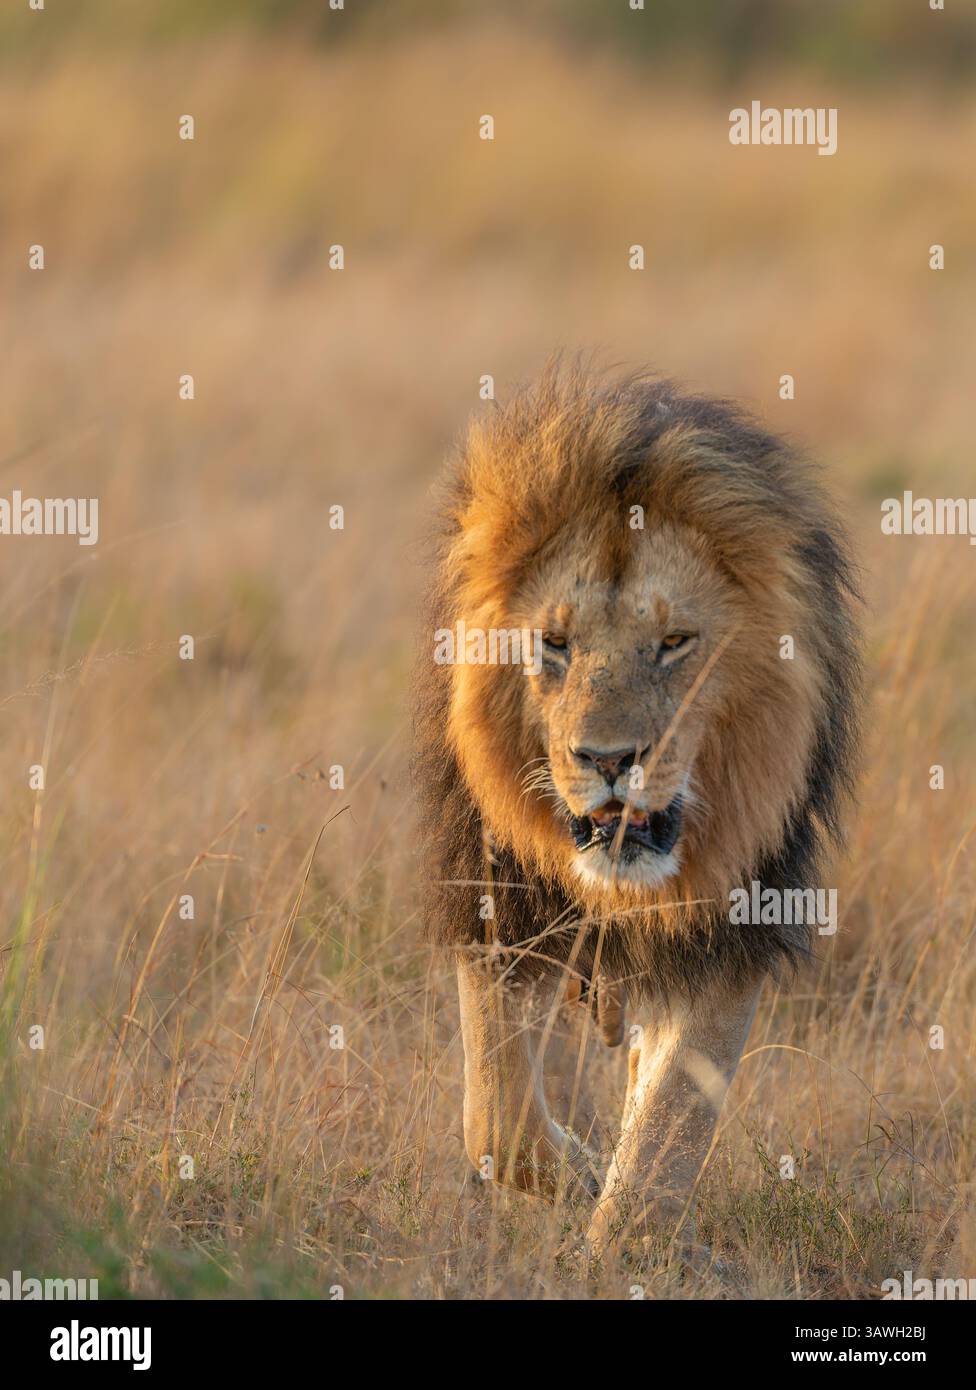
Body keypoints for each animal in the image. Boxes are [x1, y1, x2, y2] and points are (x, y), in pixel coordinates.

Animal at [414, 364, 861, 1255]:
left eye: (675, 643)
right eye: (554, 643)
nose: (610, 760)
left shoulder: (732, 930)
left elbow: (668, 1128)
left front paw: (622, 1241)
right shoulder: (498, 905)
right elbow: (498, 1121)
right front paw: (584, 1177)